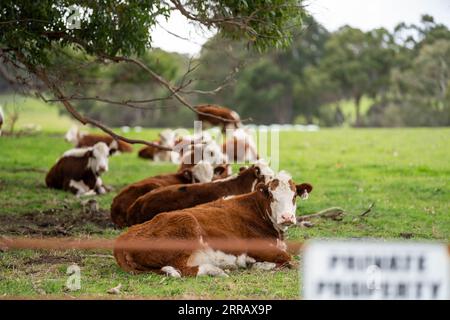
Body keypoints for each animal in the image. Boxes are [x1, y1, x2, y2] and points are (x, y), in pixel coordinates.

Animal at [113, 172, 312, 278]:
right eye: (271, 195)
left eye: (294, 196)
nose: (287, 217)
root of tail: (126, 234)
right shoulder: (258, 248)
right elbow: (288, 258)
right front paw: (260, 265)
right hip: (187, 225)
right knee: (184, 269)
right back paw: (215, 270)